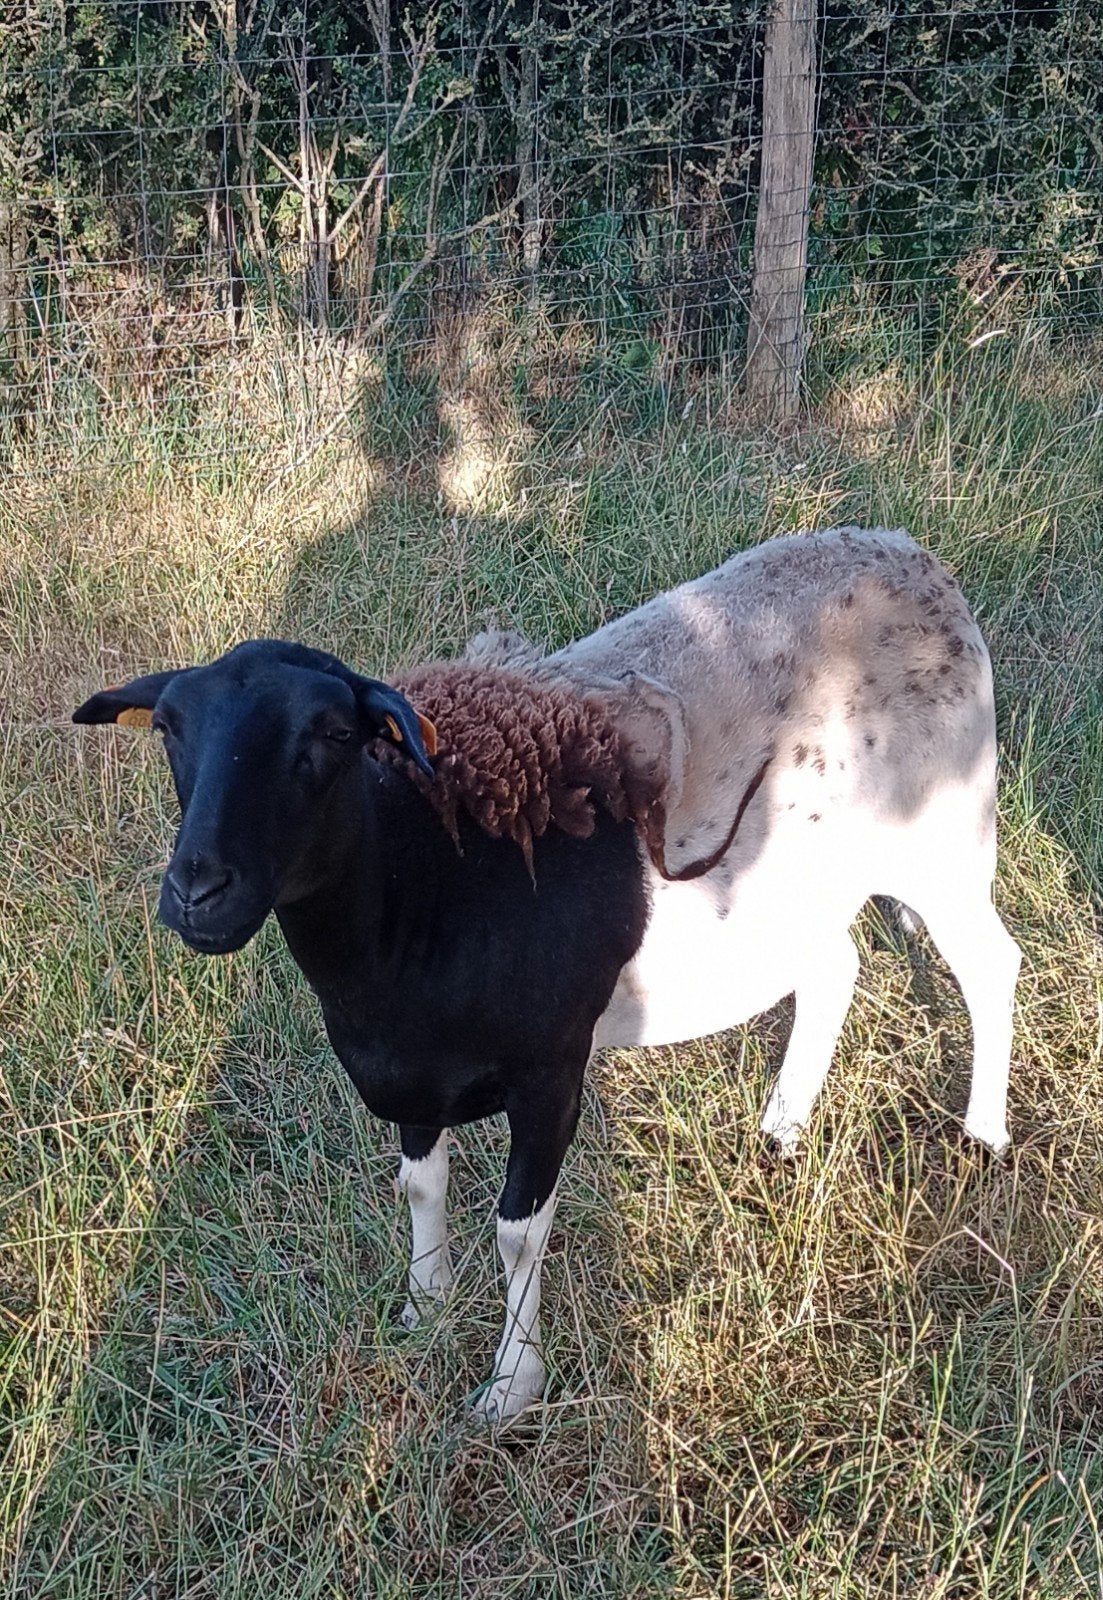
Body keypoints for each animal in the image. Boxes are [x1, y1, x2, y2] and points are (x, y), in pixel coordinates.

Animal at [72, 525, 1020, 1422]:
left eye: (334, 736)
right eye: (169, 730)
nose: (198, 892)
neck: (423, 880)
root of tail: (908, 554)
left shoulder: (550, 1073)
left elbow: (518, 1234)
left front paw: (509, 1388)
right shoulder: (413, 1072)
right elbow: (419, 1182)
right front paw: (423, 1307)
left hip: (943, 833)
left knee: (989, 963)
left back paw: (981, 1136)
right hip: (796, 884)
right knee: (834, 967)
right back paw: (783, 1126)